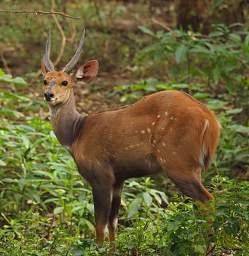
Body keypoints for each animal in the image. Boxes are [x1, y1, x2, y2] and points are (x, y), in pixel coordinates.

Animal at [41, 29, 221, 246]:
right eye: (45, 80)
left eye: (65, 82)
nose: (48, 94)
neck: (77, 133)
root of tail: (210, 121)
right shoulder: (119, 178)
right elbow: (113, 224)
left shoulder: (101, 175)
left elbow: (99, 226)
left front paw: (97, 249)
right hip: (193, 166)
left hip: (177, 162)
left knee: (207, 200)